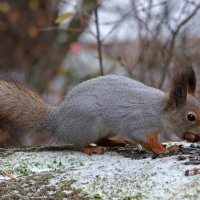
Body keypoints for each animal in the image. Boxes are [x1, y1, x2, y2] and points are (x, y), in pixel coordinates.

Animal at [0, 65, 200, 155]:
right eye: (190, 117)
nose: (198, 135)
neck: (159, 111)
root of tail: (57, 123)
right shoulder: (139, 122)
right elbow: (145, 140)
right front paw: (165, 149)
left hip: (105, 128)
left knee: (100, 139)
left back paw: (115, 141)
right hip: (87, 125)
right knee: (78, 144)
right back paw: (91, 149)